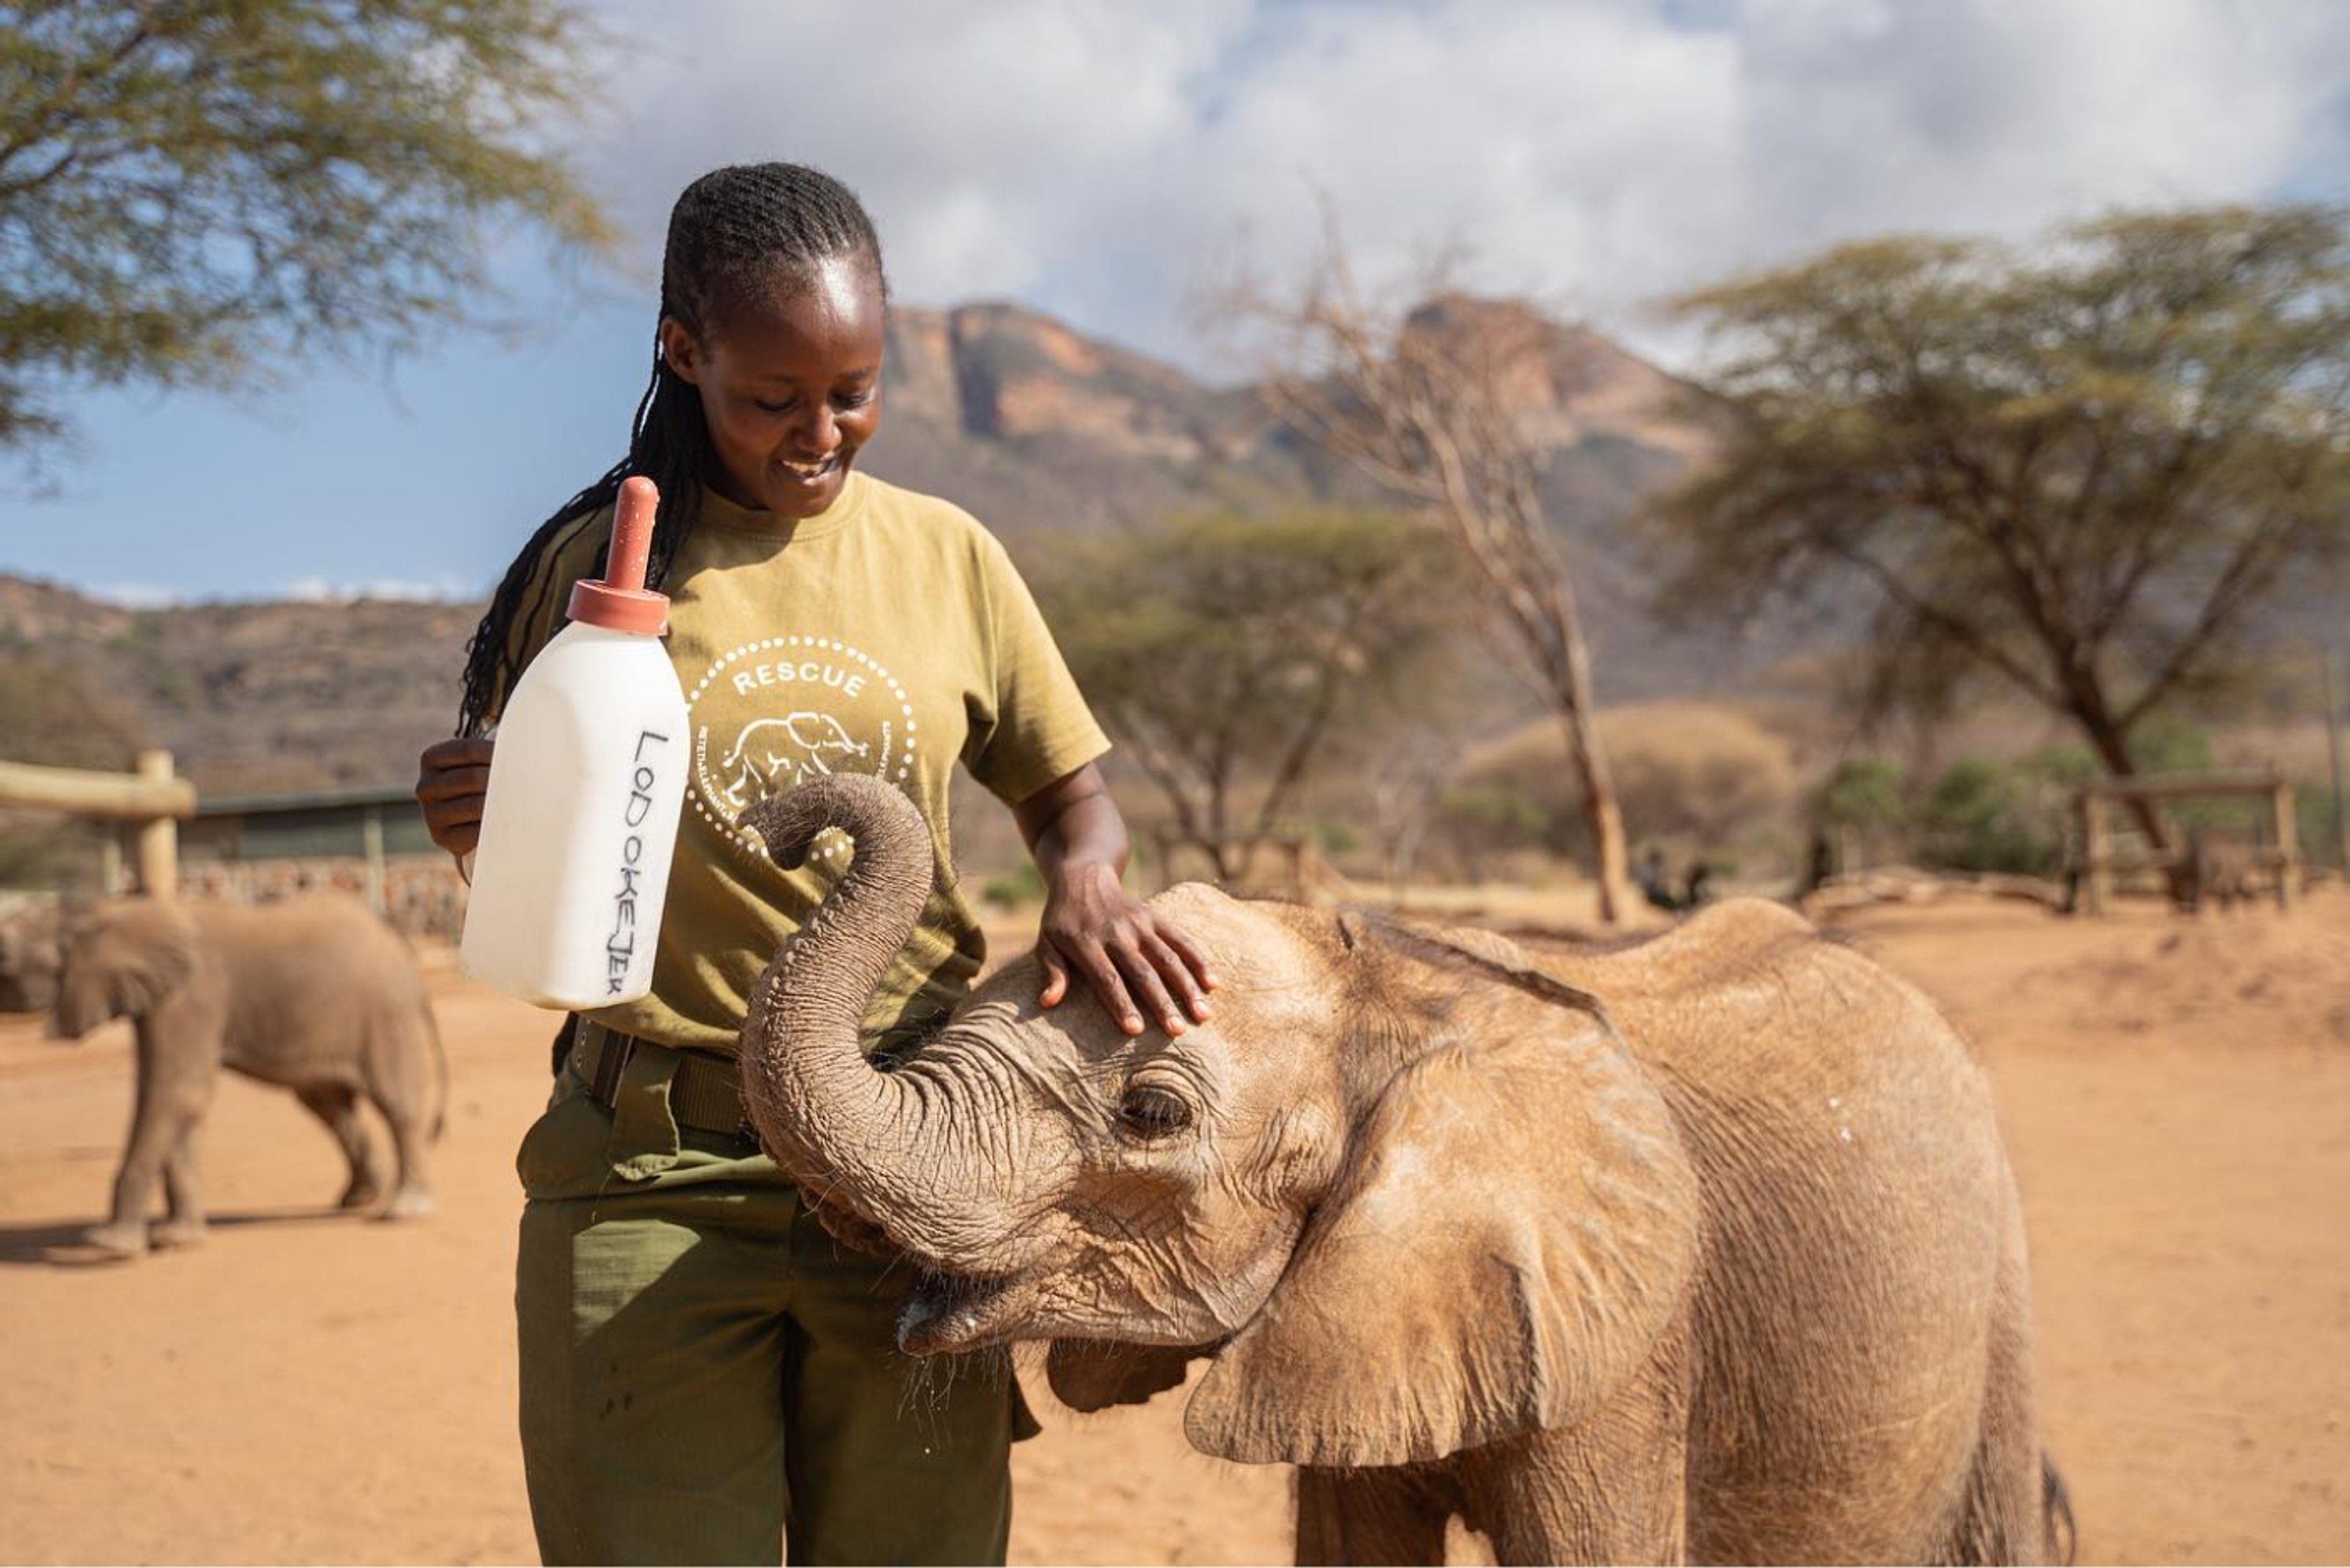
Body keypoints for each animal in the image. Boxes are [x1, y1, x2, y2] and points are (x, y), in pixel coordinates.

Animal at [6, 893, 449, 1250]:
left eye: (12, 963)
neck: (113, 911)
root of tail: (408, 961)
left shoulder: (192, 996)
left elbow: (176, 1093)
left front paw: (109, 1245)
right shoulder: (162, 1001)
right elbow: (175, 1100)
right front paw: (176, 1239)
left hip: (385, 1016)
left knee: (395, 1105)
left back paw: (403, 1210)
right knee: (328, 1106)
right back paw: (357, 1199)